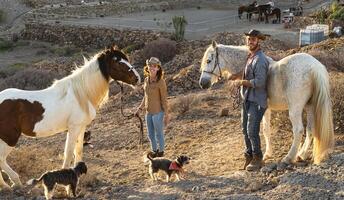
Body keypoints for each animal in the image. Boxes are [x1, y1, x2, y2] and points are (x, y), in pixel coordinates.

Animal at [0, 46, 141, 190]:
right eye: (117, 61)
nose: (137, 78)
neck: (81, 93)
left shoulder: (81, 127)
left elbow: (78, 151)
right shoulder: (74, 128)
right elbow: (68, 153)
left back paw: (4, 185)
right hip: (10, 138)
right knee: (1, 159)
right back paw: (14, 181)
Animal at [199, 41, 334, 165]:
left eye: (209, 61)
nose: (202, 83)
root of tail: (315, 67)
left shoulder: (262, 109)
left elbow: (263, 130)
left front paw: (266, 155)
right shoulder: (267, 109)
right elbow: (266, 130)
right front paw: (268, 153)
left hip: (295, 109)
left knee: (299, 130)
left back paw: (289, 157)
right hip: (310, 107)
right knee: (310, 129)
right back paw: (301, 155)